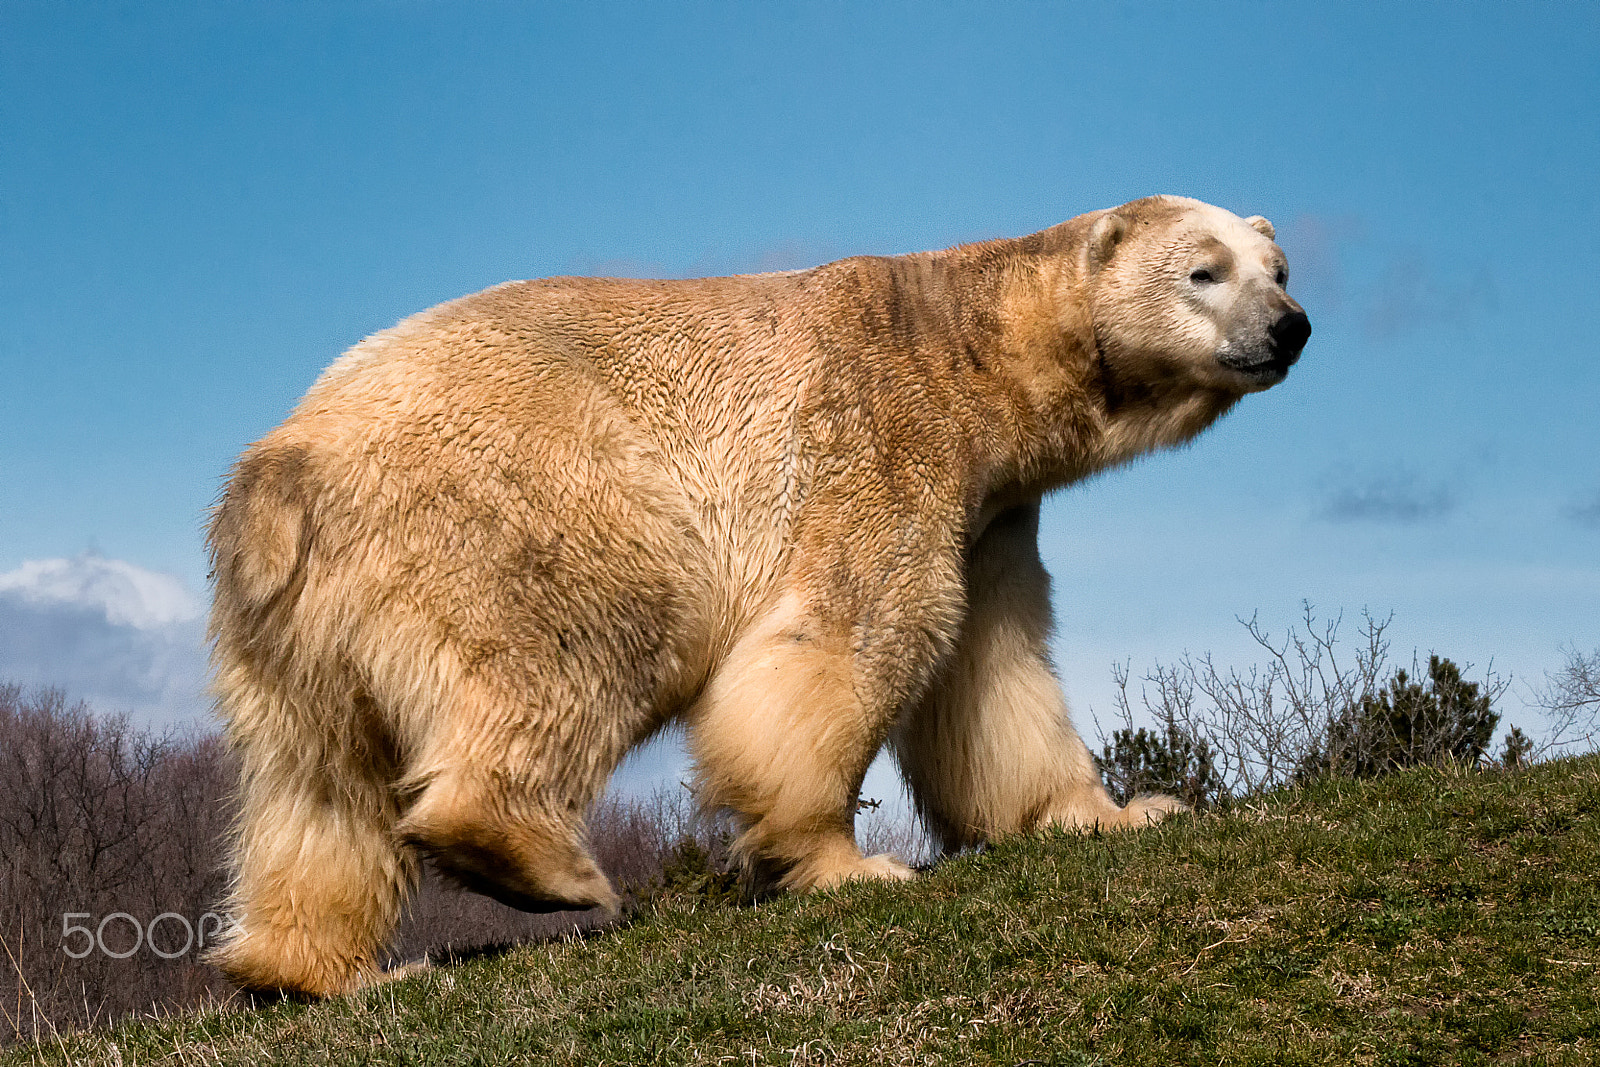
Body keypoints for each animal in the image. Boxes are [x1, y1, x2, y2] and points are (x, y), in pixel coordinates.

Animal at [206, 195, 1309, 997]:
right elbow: (851, 634)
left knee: (321, 785)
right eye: (1203, 270)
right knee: (588, 636)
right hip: (521, 503)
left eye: (1278, 267)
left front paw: (1120, 811)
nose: (1290, 326)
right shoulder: (882, 437)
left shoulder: (992, 509)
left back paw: (329, 970)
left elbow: (995, 670)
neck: (965, 347)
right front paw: (844, 864)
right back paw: (539, 862)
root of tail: (283, 466)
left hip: (297, 624)